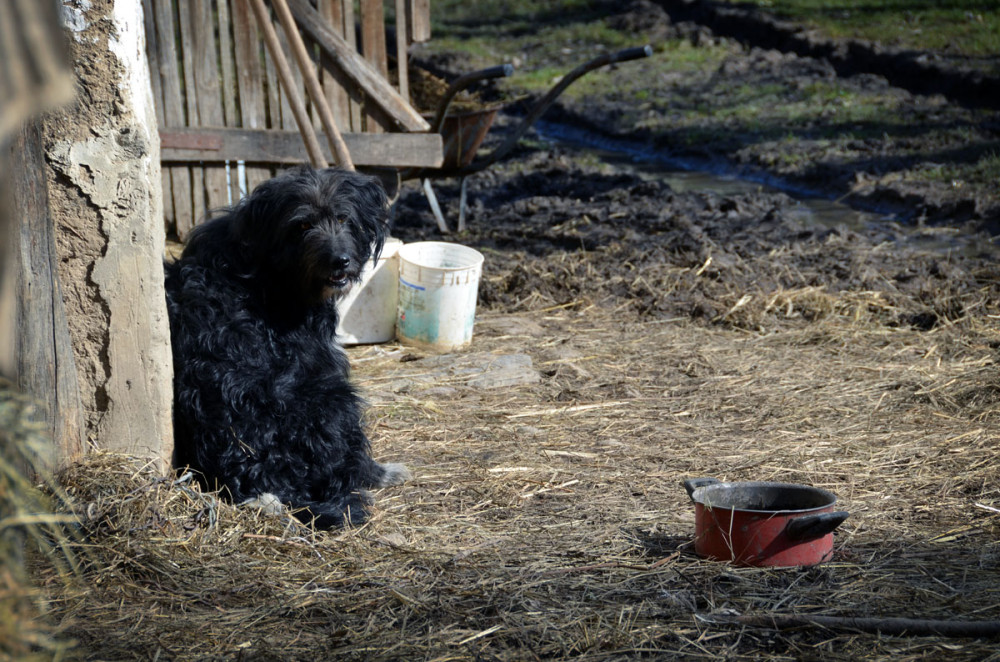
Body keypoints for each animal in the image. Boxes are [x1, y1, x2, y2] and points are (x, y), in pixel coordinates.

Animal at [166, 169, 408, 532]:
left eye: (342, 218)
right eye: (302, 225)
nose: (340, 262)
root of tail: (260, 476)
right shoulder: (320, 356)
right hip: (336, 399)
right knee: (347, 460)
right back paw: (378, 473)